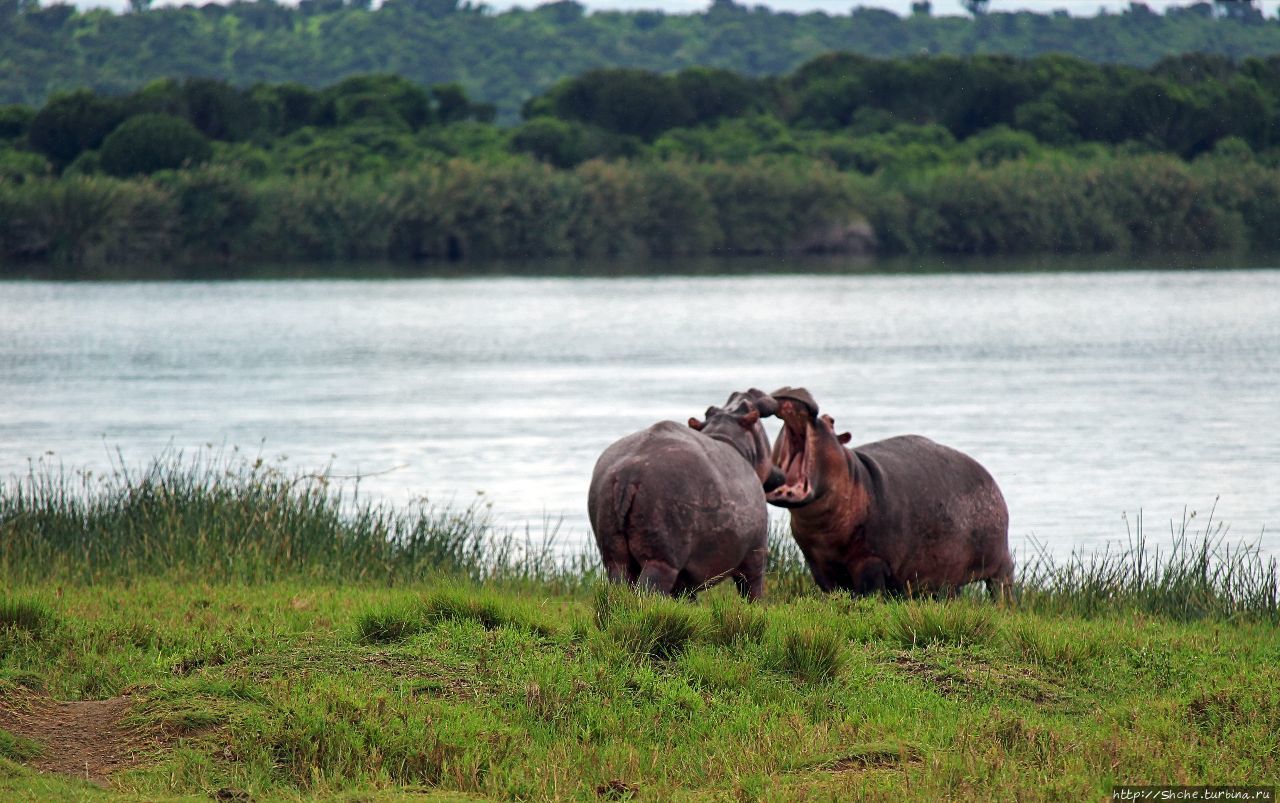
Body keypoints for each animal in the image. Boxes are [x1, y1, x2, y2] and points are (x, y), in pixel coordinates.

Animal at [586, 389, 783, 604]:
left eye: (713, 409)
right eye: (749, 408)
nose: (744, 392)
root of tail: (628, 474)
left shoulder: (685, 579)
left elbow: (688, 600)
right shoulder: (756, 553)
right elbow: (753, 590)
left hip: (614, 555)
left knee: (618, 585)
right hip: (661, 559)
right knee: (649, 590)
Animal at [762, 386, 1013, 599]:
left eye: (830, 421)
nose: (797, 389)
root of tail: (990, 478)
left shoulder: (873, 560)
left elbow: (869, 592)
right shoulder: (817, 563)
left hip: (1000, 562)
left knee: (1003, 586)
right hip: (947, 574)